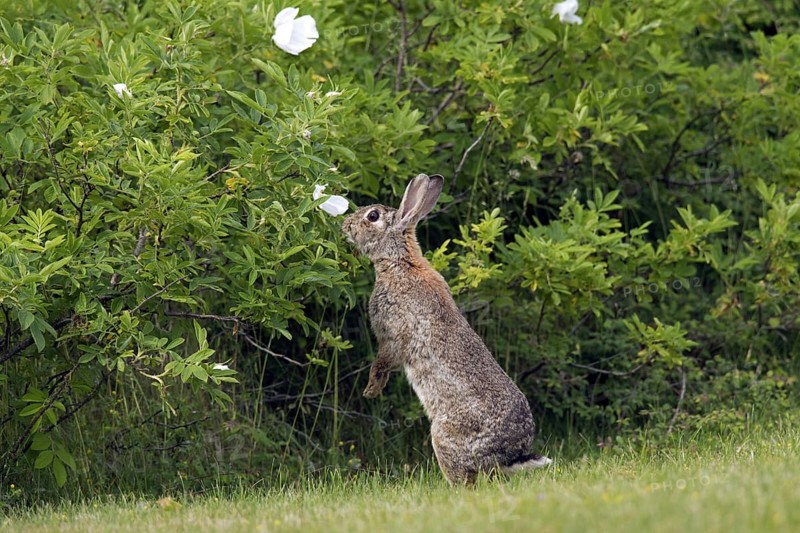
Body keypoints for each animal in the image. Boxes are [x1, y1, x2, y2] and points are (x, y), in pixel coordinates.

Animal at [342, 173, 551, 485]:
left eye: (373, 216)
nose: (346, 225)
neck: (399, 262)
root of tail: (510, 455)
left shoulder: (392, 335)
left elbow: (382, 363)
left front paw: (370, 391)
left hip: (443, 437)